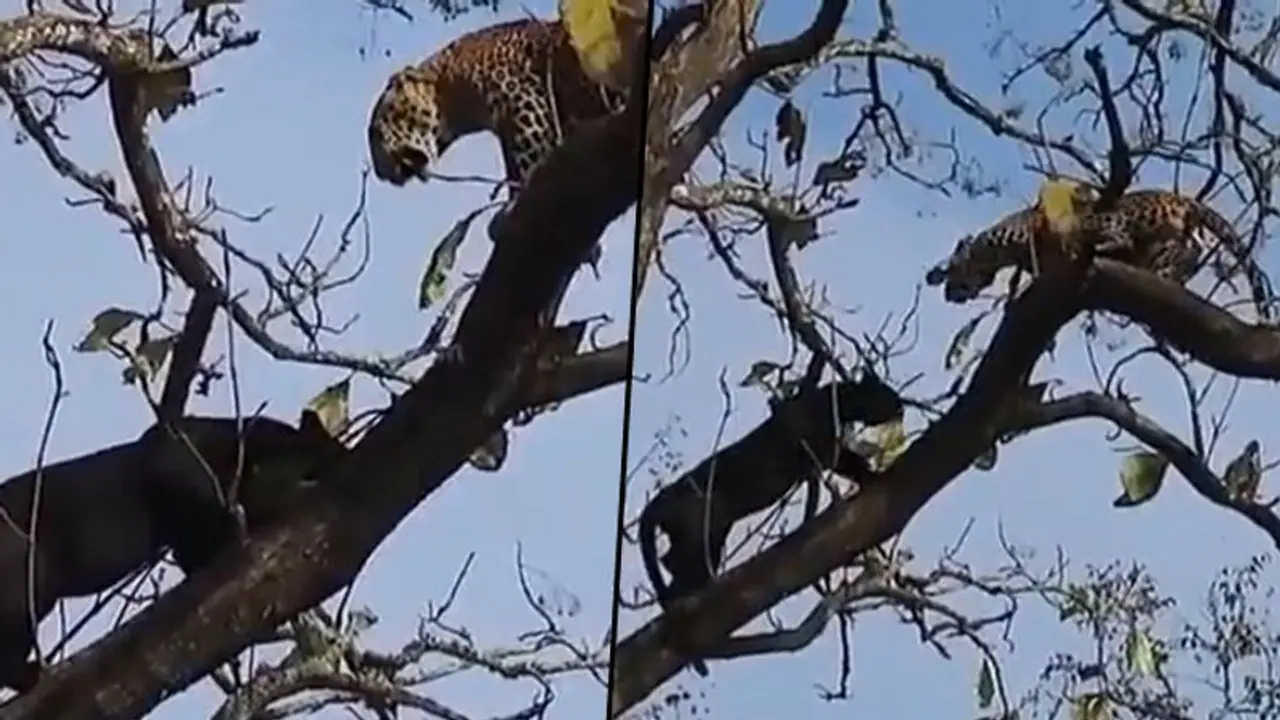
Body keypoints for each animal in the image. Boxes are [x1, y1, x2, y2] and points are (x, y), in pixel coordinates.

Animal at [925, 188, 1274, 321]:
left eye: (952, 273)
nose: (948, 295)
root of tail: (1183, 199)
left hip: (1117, 217)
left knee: (1123, 237)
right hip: (1171, 241)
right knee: (1183, 253)